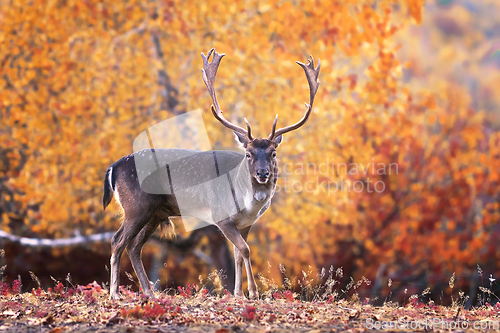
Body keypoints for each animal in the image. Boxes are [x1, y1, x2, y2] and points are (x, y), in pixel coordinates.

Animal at [102, 48, 320, 298]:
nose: (263, 173)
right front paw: (253, 293)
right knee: (117, 241)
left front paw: (238, 294)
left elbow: (238, 253)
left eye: (273, 153)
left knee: (134, 245)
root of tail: (114, 167)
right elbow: (245, 249)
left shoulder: (246, 223)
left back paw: (149, 292)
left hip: (155, 213)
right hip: (136, 207)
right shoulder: (221, 216)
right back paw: (115, 293)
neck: (248, 202)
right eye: (248, 153)